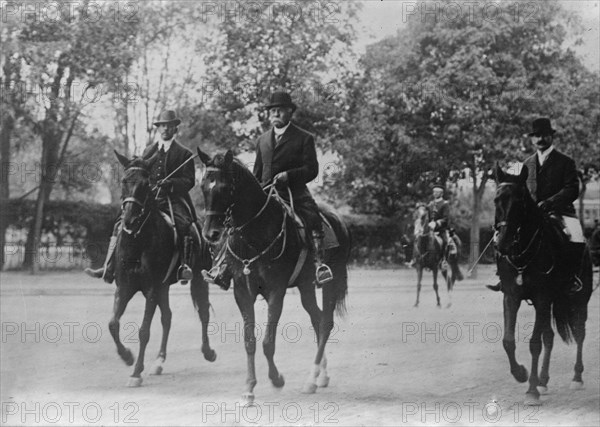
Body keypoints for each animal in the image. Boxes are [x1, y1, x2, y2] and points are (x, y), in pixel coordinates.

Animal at [109, 151, 217, 388]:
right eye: (124, 181)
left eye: (145, 183)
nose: (129, 220)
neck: (138, 241)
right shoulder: (124, 288)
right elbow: (113, 324)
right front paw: (127, 356)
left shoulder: (151, 289)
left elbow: (144, 331)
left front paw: (136, 372)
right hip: (164, 287)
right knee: (167, 317)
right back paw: (159, 361)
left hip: (196, 278)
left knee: (203, 312)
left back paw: (208, 352)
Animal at [197, 150, 352, 404]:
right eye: (203, 186)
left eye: (225, 187)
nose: (211, 234)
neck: (255, 233)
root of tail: (339, 220)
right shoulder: (243, 292)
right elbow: (249, 341)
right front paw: (249, 388)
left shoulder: (275, 292)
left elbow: (268, 342)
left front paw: (276, 379)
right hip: (306, 287)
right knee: (317, 319)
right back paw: (320, 376)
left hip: (331, 281)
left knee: (326, 323)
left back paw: (311, 379)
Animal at [492, 166, 596, 406]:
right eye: (496, 200)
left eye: (519, 201)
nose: (502, 244)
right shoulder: (511, 296)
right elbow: (508, 341)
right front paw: (521, 374)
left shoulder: (541, 296)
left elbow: (534, 343)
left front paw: (531, 391)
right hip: (551, 302)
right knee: (549, 336)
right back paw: (543, 380)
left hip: (579, 299)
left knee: (580, 333)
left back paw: (576, 377)